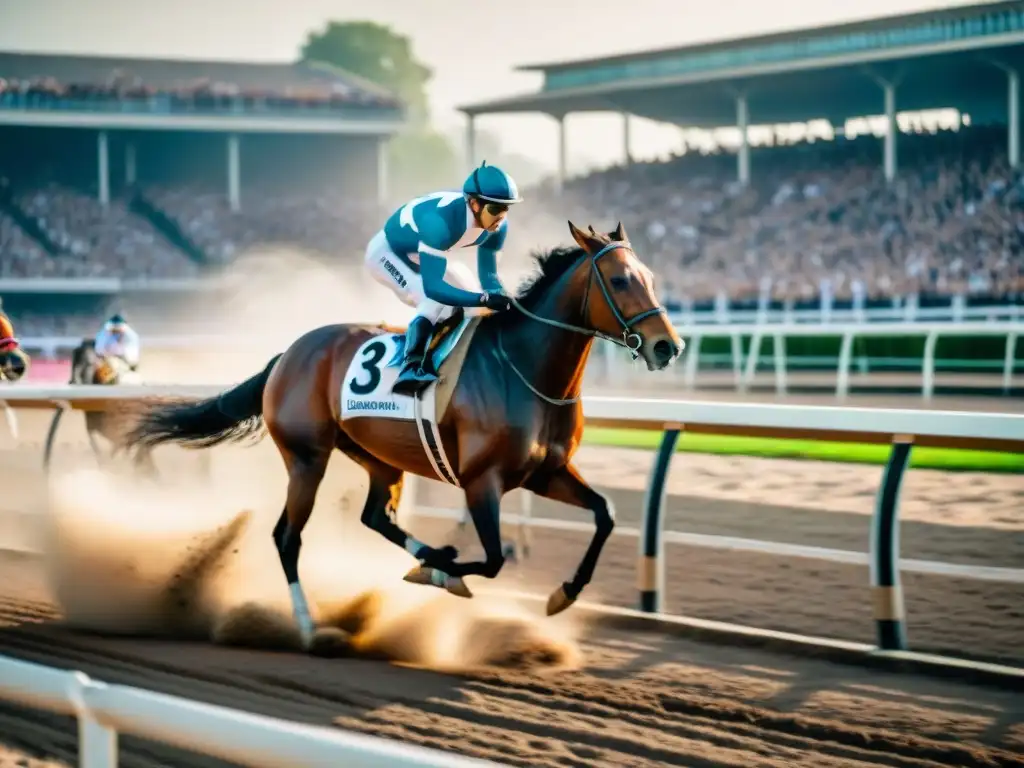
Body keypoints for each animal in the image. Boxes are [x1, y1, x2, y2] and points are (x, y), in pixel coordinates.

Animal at [130, 222, 688, 651]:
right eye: (619, 279)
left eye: (650, 277)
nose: (668, 346)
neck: (526, 369)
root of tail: (288, 353)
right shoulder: (481, 481)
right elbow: (493, 559)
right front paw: (445, 575)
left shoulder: (546, 473)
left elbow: (604, 514)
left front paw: (564, 592)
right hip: (308, 457)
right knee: (287, 537)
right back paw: (311, 627)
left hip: (377, 456)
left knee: (375, 516)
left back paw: (429, 555)